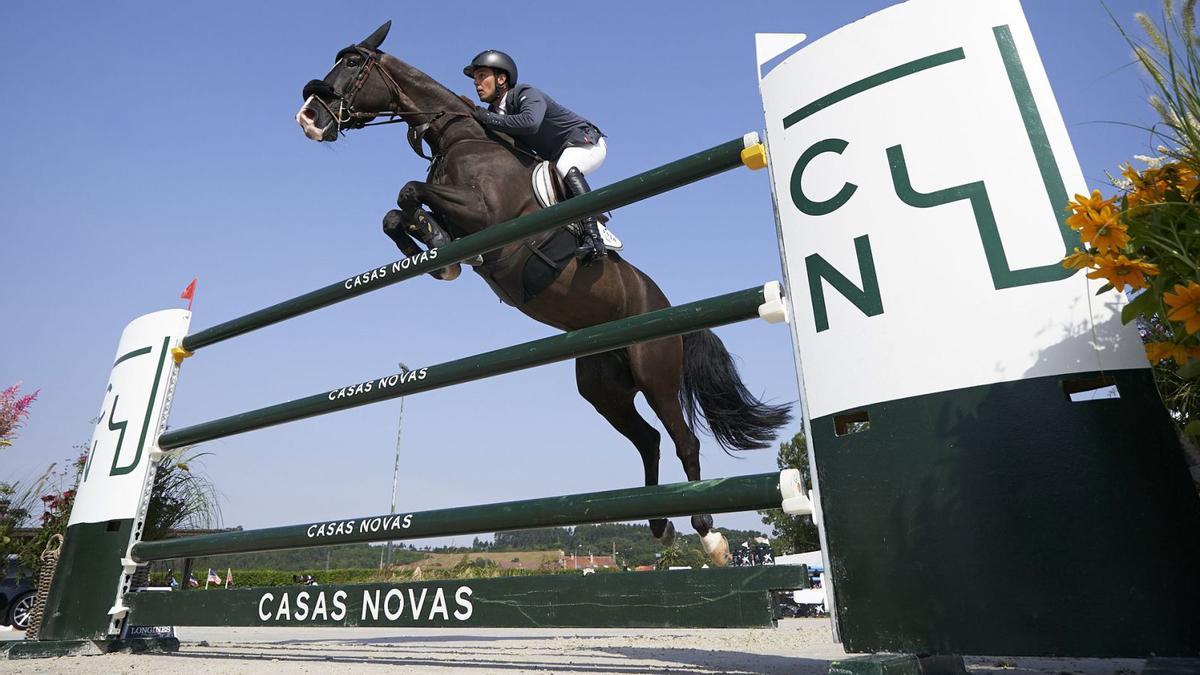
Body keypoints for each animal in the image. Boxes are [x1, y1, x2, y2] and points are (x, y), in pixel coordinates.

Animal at [295, 19, 792, 562]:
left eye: (353, 63)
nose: (309, 118)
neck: (461, 137)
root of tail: (668, 309)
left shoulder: (485, 214)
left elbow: (408, 192)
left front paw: (434, 242)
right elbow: (396, 211)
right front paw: (433, 248)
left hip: (655, 371)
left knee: (684, 440)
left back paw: (710, 534)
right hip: (603, 387)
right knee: (648, 440)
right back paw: (660, 523)